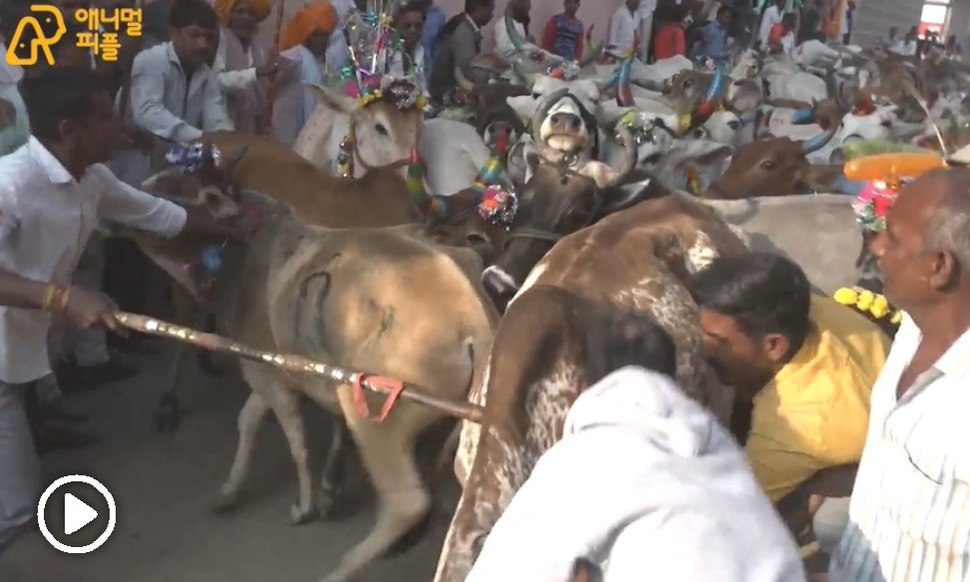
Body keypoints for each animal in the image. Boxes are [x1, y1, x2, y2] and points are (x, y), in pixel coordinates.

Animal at [134, 163, 500, 582]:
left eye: (170, 185)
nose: (133, 193)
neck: (241, 257)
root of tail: (473, 319)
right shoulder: (268, 375)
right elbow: (248, 421)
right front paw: (230, 491)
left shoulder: (269, 375)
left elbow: (294, 439)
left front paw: (304, 505)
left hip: (373, 415)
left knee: (406, 503)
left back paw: (341, 568)